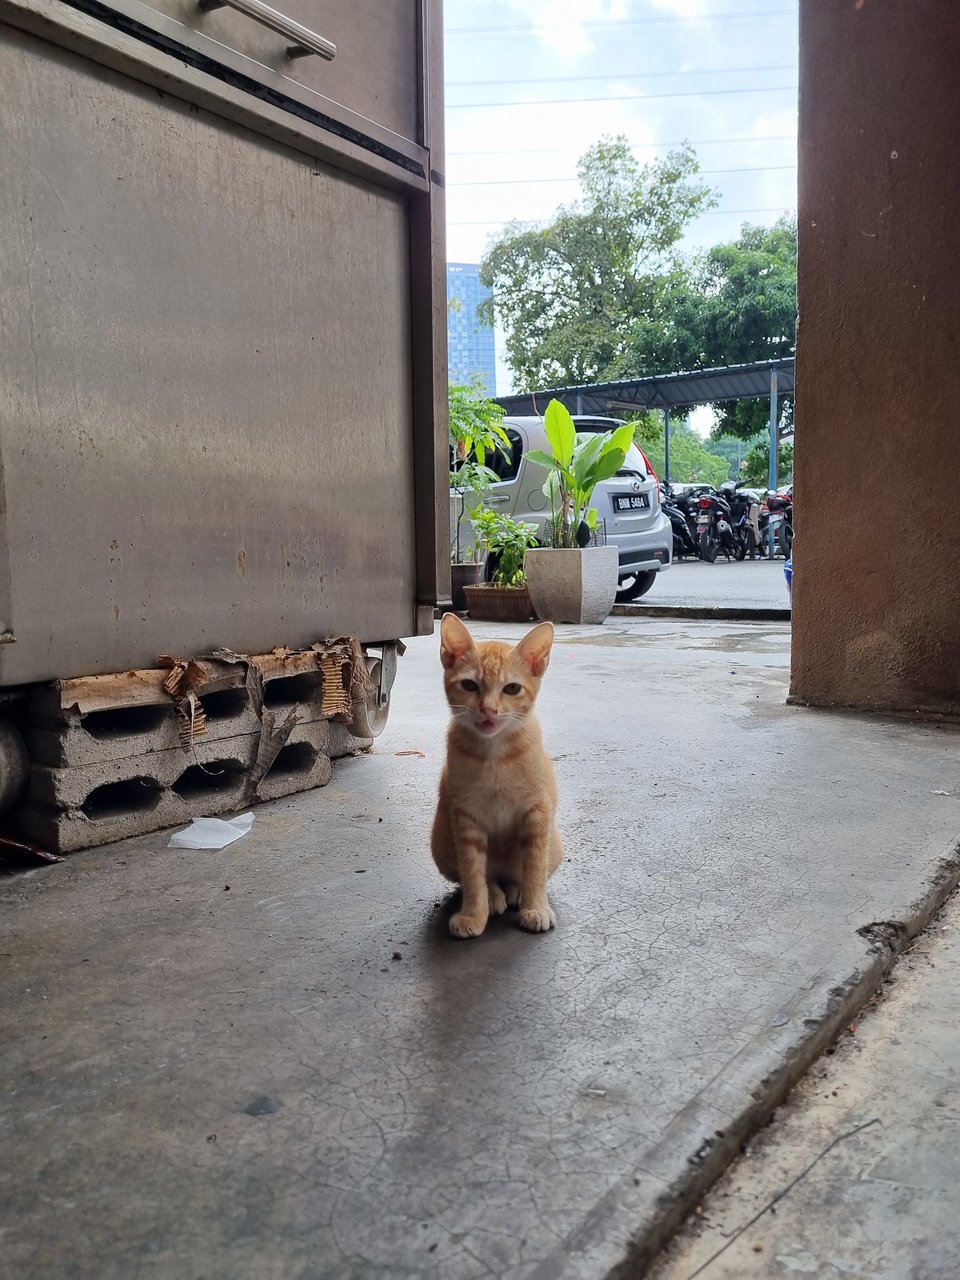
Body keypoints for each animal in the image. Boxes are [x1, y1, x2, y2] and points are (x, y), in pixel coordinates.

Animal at [430, 614, 560, 936]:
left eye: (511, 689)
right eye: (469, 685)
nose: (488, 709)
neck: (494, 754)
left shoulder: (538, 812)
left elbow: (535, 867)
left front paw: (536, 907)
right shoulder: (465, 817)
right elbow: (472, 872)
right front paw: (474, 913)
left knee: (522, 872)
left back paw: (516, 890)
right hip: (441, 843)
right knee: (481, 876)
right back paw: (493, 893)